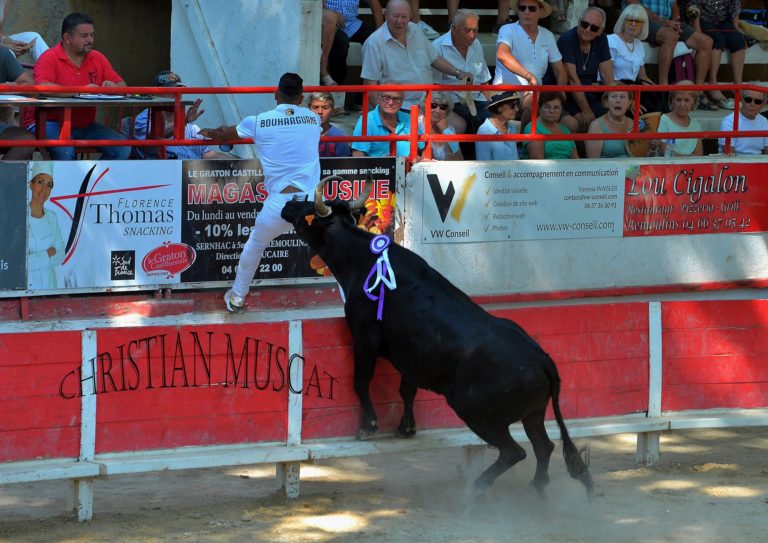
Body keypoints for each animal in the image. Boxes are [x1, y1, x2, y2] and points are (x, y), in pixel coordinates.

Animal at [282, 177, 592, 498]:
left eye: (308, 210)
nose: (287, 204)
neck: (363, 260)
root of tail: (542, 359)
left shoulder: (365, 339)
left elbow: (361, 380)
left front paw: (368, 426)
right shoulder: (410, 355)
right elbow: (407, 389)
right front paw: (406, 428)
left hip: (476, 412)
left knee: (514, 451)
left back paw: (477, 488)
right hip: (533, 412)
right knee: (544, 446)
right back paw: (537, 491)